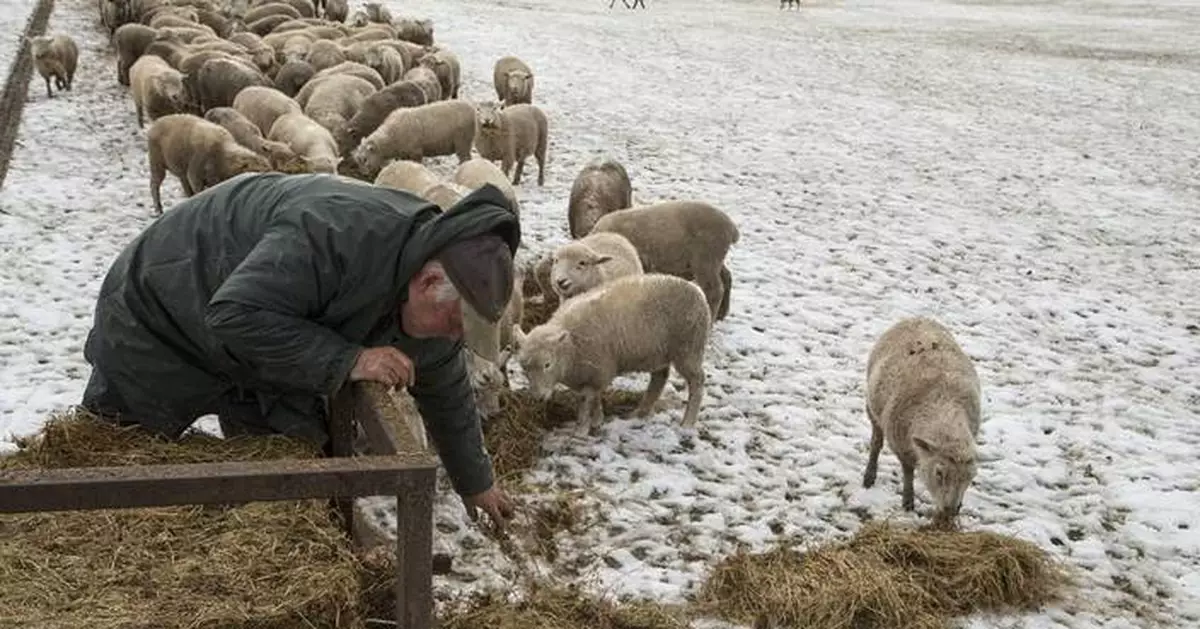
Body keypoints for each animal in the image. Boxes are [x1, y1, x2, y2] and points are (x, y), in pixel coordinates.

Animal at [511, 273, 710, 436]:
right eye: (524, 367)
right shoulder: (593, 373)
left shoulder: (599, 370)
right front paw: (597, 420)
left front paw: (582, 429)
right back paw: (640, 412)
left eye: (547, 364)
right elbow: (595, 398)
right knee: (660, 377)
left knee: (697, 381)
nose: (538, 398)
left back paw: (688, 422)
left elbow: (586, 400)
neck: (571, 346)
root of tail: (697, 290)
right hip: (660, 351)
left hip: (689, 348)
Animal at [589, 201, 739, 322]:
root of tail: (731, 228)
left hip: (706, 258)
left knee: (714, 290)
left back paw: (712, 319)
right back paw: (722, 314)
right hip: (715, 259)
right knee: (727, 277)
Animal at [862, 317, 983, 527]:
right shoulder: (901, 444)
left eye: (970, 477)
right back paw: (869, 475)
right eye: (939, 473)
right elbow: (908, 471)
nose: (951, 511)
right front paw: (908, 501)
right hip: (872, 409)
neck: (943, 407)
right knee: (876, 443)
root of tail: (916, 317)